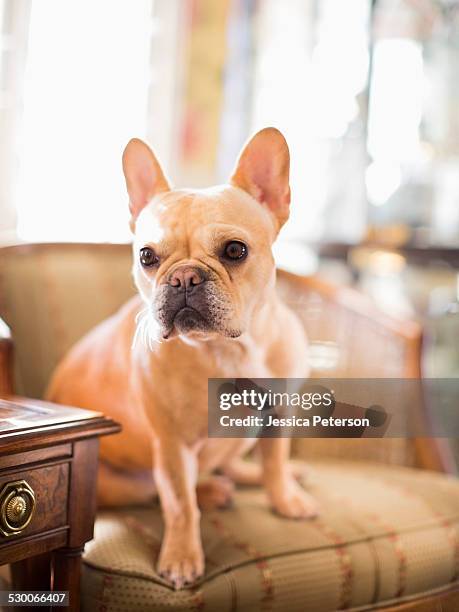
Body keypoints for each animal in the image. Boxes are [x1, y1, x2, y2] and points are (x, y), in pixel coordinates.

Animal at [47, 128, 320, 588]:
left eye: (235, 250)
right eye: (147, 257)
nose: (184, 277)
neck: (229, 350)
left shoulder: (280, 413)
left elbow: (275, 459)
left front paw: (285, 498)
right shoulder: (172, 446)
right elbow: (178, 503)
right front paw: (180, 557)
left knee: (239, 462)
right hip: (124, 482)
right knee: (167, 492)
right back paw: (211, 491)